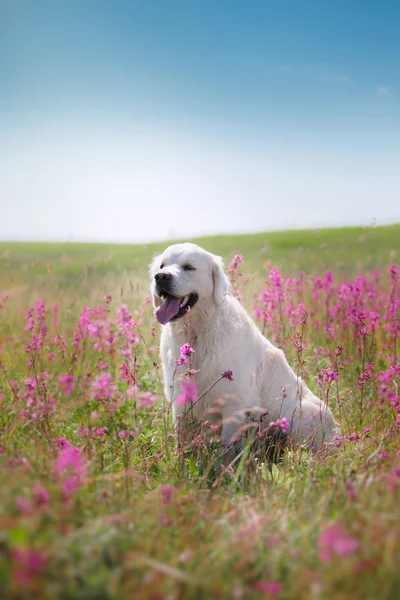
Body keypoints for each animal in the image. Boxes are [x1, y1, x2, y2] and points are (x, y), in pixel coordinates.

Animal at [151, 243, 338, 450]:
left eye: (189, 267)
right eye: (161, 266)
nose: (160, 277)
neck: (196, 335)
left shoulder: (236, 403)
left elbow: (228, 446)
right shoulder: (180, 400)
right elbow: (182, 442)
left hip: (302, 413)